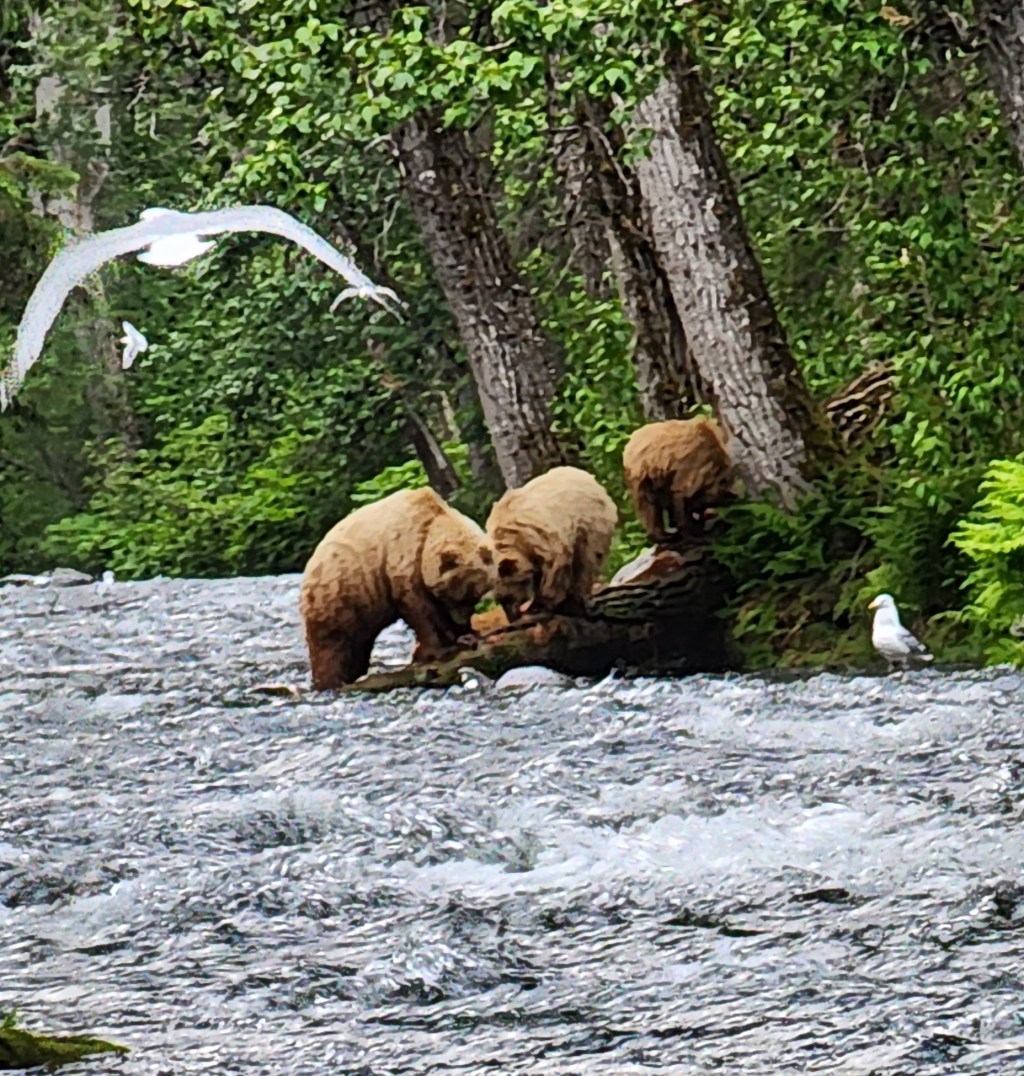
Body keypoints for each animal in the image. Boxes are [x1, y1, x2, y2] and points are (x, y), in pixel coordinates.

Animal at [299, 488, 497, 690]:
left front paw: (467, 636)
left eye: (476, 596)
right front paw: (441, 647)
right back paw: (331, 681)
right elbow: (421, 610)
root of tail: (311, 562)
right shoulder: (402, 560)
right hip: (340, 594)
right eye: (457, 594)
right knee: (333, 644)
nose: (461, 621)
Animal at [485, 466, 618, 622]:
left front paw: (546, 602)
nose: (512, 617)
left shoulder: (543, 538)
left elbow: (552, 570)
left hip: (591, 525)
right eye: (500, 600)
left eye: (506, 598)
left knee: (586, 562)